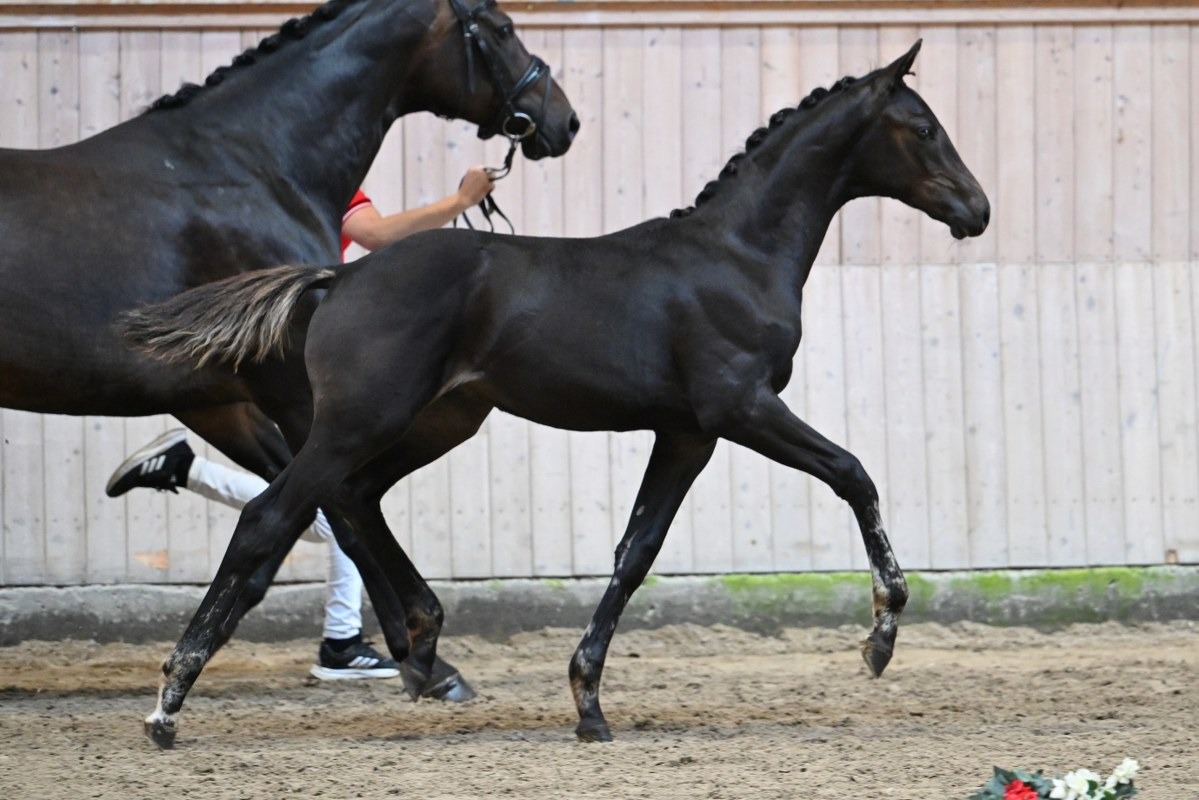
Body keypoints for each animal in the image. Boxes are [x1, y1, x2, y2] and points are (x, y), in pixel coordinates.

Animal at [0, 0, 575, 695]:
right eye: (501, 26)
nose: (564, 120)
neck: (255, 169)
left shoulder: (226, 400)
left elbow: (311, 512)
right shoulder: (299, 397)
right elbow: (340, 513)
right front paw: (422, 658)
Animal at [121, 42, 987, 743]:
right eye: (922, 128)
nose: (976, 209)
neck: (737, 255)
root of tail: (339, 277)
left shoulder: (686, 432)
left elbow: (636, 551)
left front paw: (588, 703)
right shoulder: (741, 408)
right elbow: (852, 473)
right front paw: (879, 639)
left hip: (426, 424)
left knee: (356, 499)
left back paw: (423, 645)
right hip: (360, 420)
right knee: (272, 518)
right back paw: (169, 703)